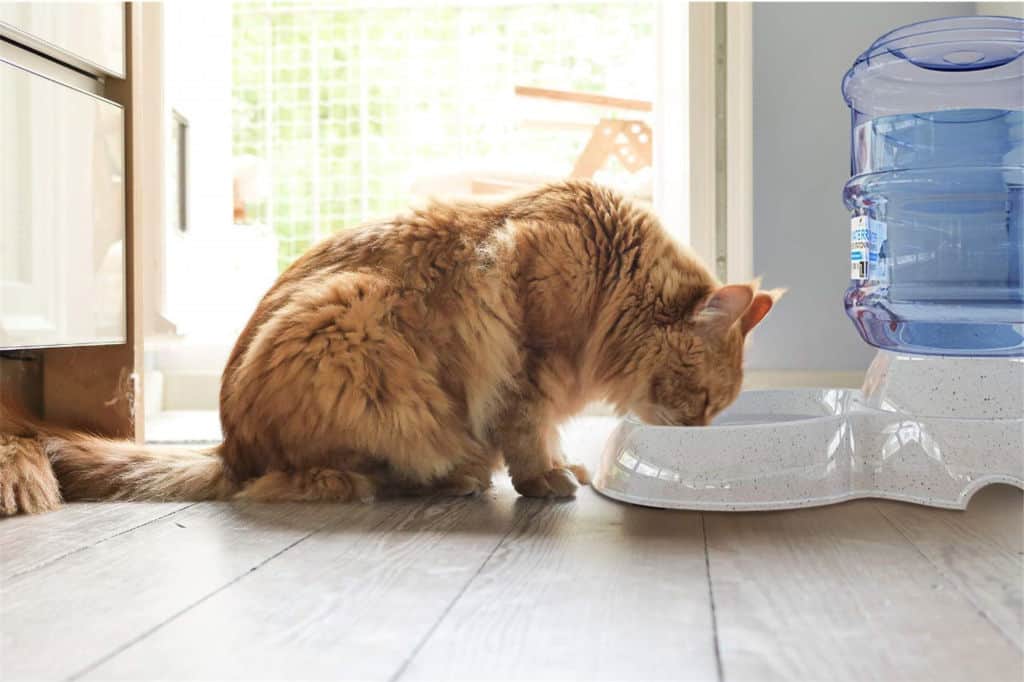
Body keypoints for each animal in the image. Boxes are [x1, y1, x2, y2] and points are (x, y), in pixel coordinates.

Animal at [0, 178, 778, 512]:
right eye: (705, 401)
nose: (698, 435)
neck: (608, 274)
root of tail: (227, 445)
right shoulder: (527, 365)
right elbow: (530, 438)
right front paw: (548, 481)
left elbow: (549, 436)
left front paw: (565, 468)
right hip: (351, 328)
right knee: (301, 481)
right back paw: (438, 480)